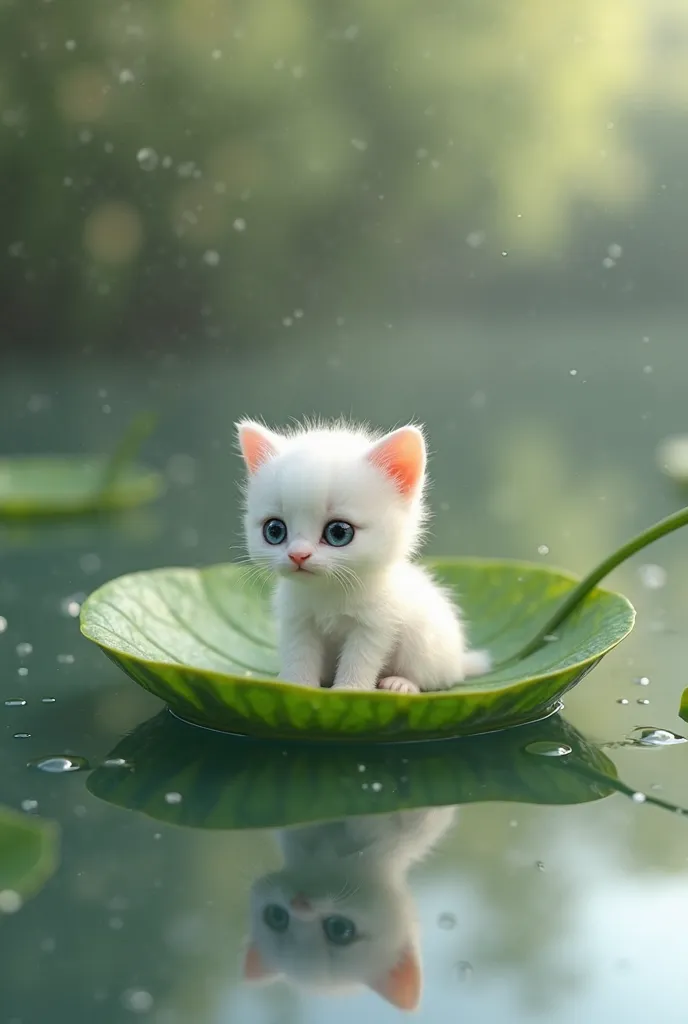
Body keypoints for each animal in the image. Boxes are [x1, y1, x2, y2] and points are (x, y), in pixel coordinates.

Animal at [236, 417, 489, 696]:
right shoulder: (298, 620)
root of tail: (459, 663)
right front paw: (296, 685)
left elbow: (360, 658)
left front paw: (350, 689)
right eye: (274, 530)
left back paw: (401, 683)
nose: (298, 555)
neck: (330, 591)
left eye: (338, 532)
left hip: (427, 642)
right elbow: (300, 653)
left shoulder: (375, 624)